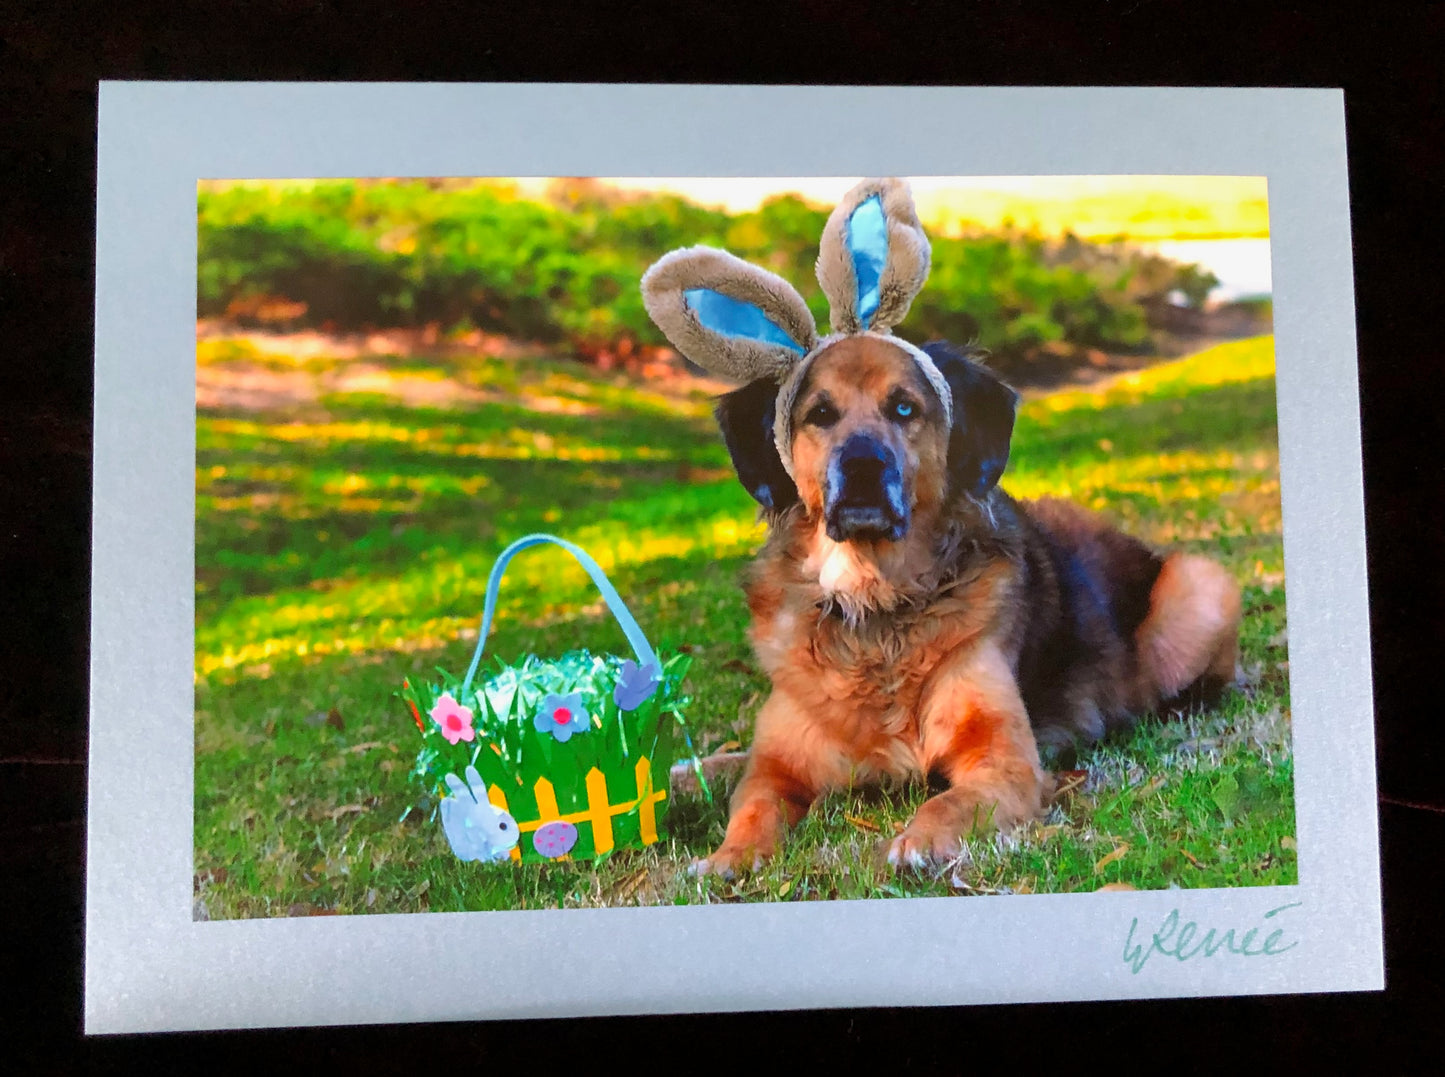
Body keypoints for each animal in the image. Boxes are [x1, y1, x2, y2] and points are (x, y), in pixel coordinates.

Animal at [699, 333, 1242, 873]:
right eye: (820, 413)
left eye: (904, 407)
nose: (862, 466)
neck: (878, 606)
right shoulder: (775, 766)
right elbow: (753, 804)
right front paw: (731, 855)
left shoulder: (1004, 761)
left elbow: (948, 801)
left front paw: (917, 841)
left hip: (1197, 588)